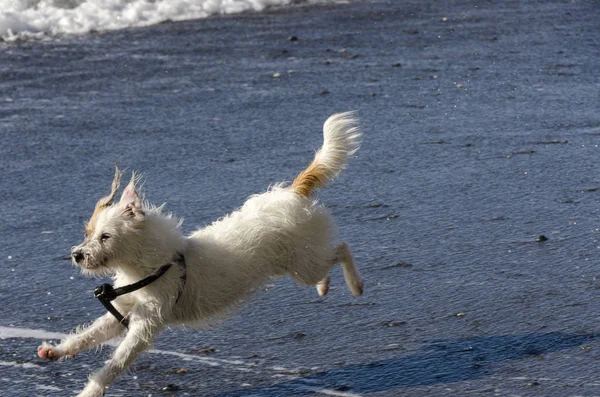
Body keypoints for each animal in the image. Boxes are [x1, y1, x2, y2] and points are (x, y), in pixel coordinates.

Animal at [39, 110, 366, 394]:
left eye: (105, 236)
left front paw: (91, 391)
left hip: (303, 265)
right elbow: (89, 334)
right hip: (298, 262)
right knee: (327, 262)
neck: (153, 265)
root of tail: (292, 192)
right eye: (88, 233)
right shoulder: (122, 309)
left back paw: (356, 285)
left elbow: (115, 364)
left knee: (341, 249)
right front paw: (56, 350)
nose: (77, 255)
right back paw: (324, 285)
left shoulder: (144, 327)